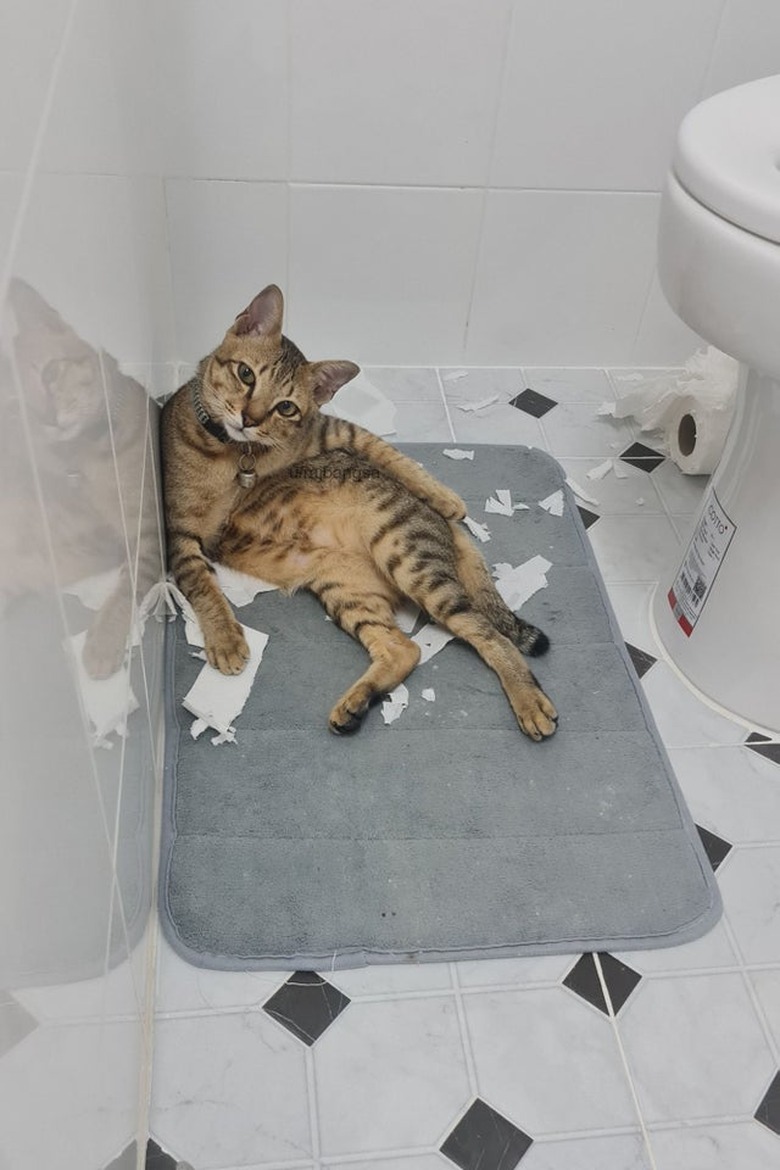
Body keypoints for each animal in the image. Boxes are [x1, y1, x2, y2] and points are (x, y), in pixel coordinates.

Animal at [161, 285, 558, 739]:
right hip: (346, 588)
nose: (248, 418)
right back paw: (355, 705)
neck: (231, 453)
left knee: (490, 634)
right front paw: (225, 636)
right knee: (404, 648)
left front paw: (226, 641)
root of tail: (450, 533)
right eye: (246, 374)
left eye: (285, 407)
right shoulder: (179, 531)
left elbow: (378, 445)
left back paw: (529, 701)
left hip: (412, 563)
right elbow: (202, 583)